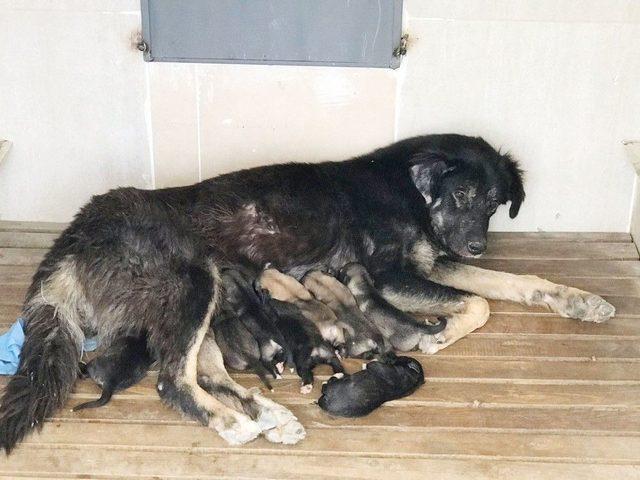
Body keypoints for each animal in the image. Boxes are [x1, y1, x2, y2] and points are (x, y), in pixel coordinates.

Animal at [2, 133, 616, 452]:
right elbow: (481, 304)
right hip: (195, 284)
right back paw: (234, 423)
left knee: (204, 371)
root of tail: (74, 234)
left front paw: (580, 301)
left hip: (198, 304)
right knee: (171, 380)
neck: (411, 189)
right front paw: (435, 338)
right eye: (462, 194)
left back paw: (272, 416)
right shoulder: (389, 274)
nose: (477, 246)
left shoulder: (432, 260)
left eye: (493, 202)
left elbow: (514, 285)